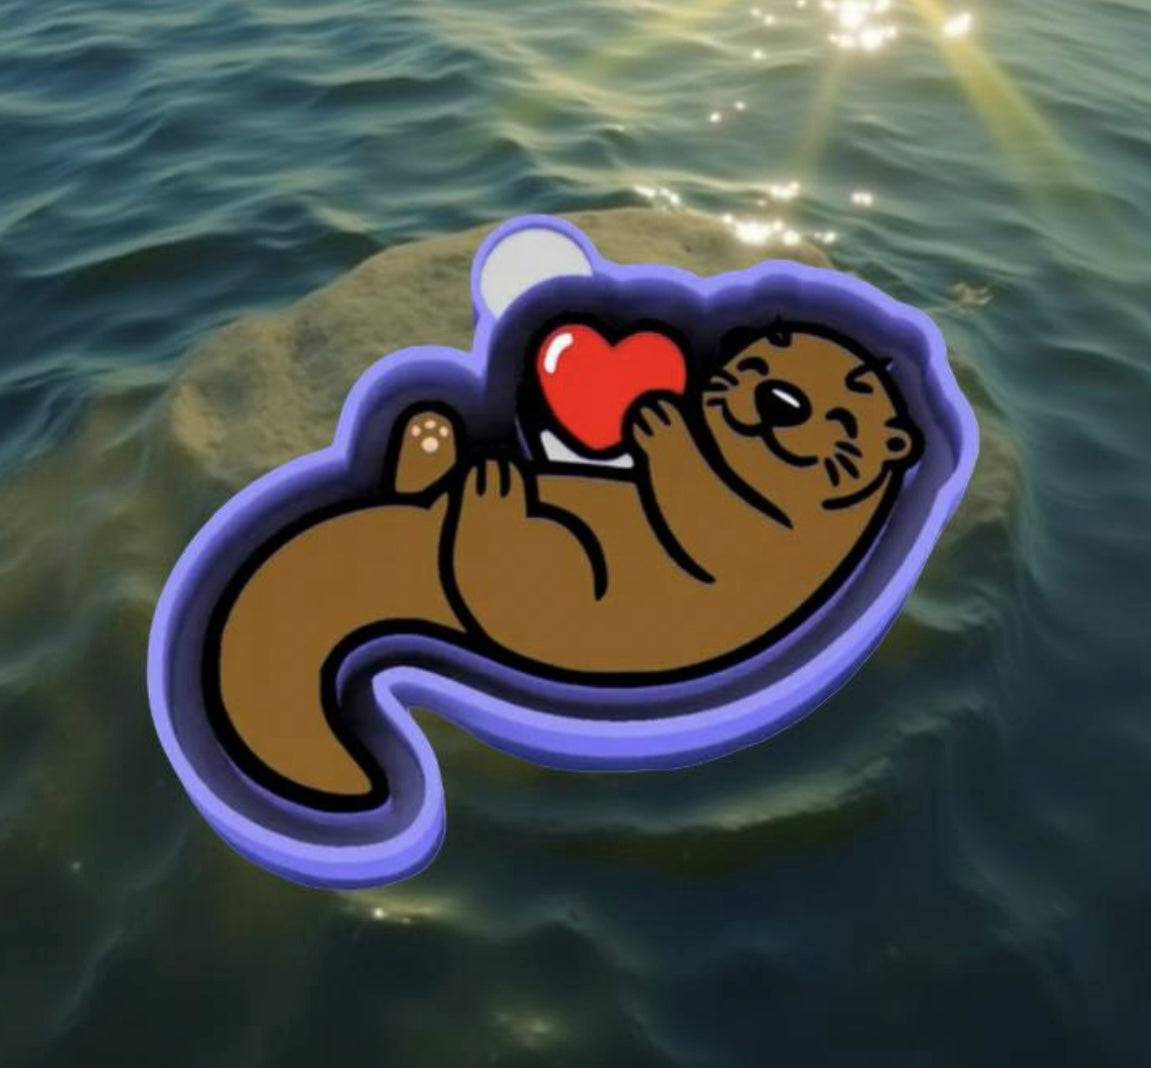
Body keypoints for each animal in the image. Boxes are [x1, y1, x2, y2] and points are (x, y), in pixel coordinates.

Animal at [209, 328, 922, 810]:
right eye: (759, 359)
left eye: (847, 410)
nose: (780, 398)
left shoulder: (771, 543)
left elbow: (704, 510)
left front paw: (661, 418)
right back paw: (434, 439)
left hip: (569, 605)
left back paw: (492, 491)